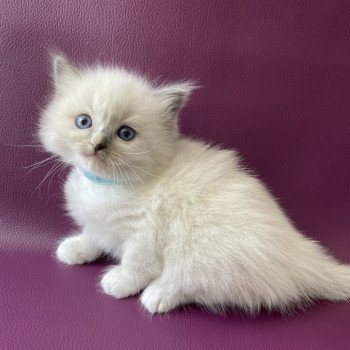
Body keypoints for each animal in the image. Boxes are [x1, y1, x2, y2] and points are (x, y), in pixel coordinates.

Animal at [39, 54, 350, 314]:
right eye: (84, 122)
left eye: (125, 134)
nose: (97, 145)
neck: (105, 183)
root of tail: (300, 254)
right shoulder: (100, 222)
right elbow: (93, 235)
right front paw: (75, 249)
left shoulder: (145, 237)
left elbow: (136, 265)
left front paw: (119, 283)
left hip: (203, 251)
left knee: (190, 285)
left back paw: (157, 296)